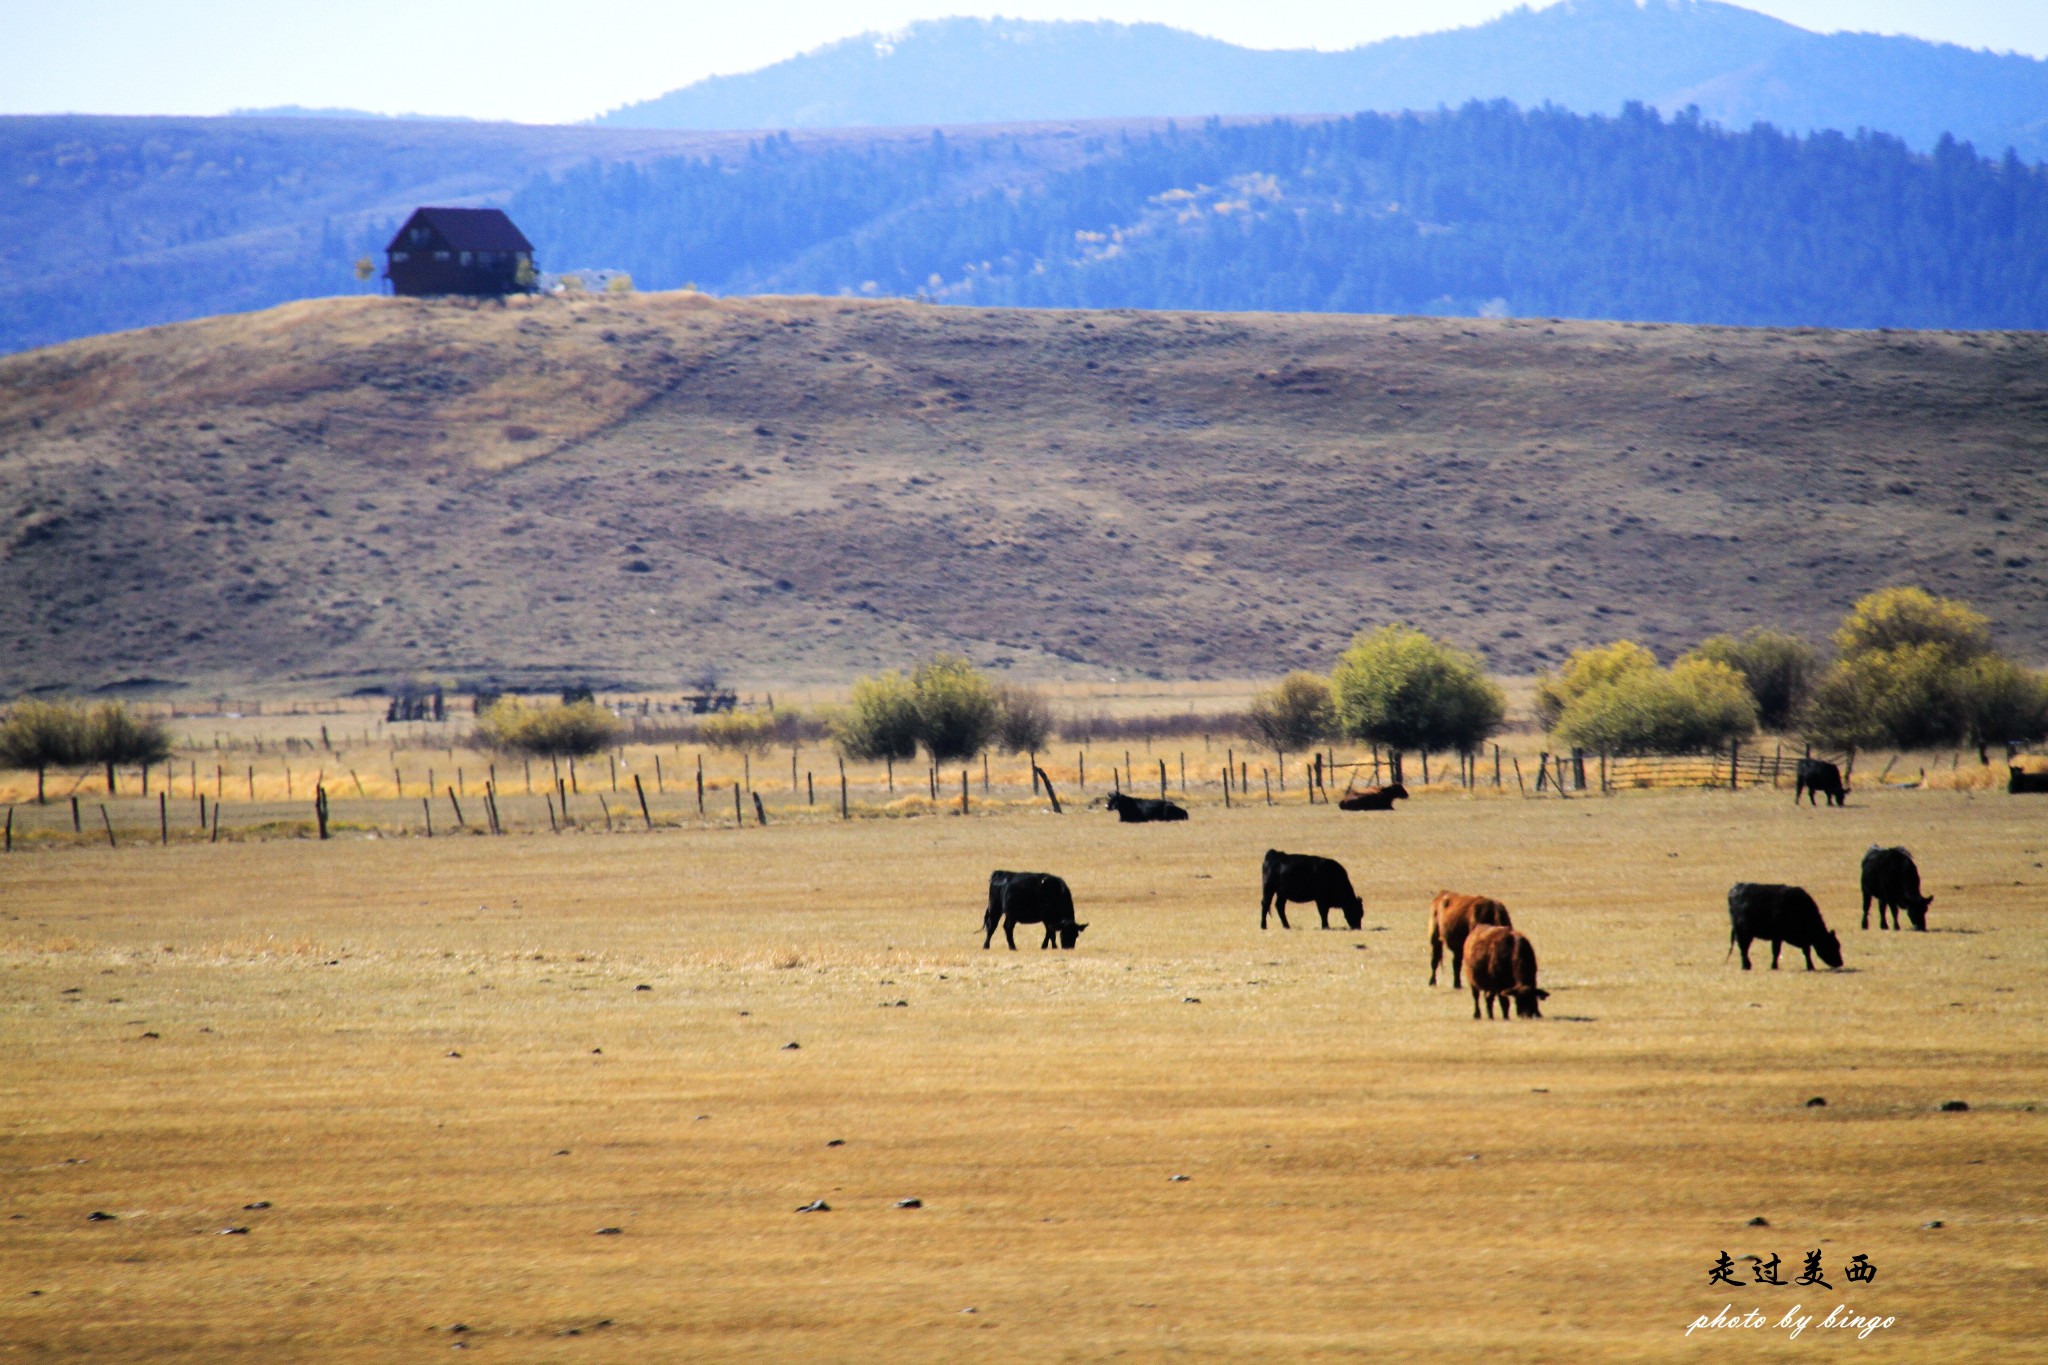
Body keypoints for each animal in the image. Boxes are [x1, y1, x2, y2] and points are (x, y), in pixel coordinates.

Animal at [1720, 888, 1851, 970]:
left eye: (1838, 945)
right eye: (1831, 945)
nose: (1840, 962)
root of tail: (1735, 888)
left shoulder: (1803, 940)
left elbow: (1806, 952)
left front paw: (1810, 966)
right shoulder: (1777, 936)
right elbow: (1776, 951)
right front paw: (1774, 966)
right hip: (1742, 932)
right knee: (1743, 948)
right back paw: (1746, 966)